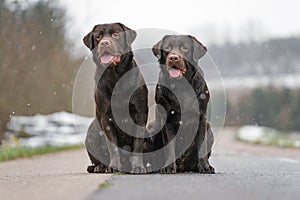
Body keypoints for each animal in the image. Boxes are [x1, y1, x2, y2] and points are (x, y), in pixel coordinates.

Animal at [82, 23, 148, 173]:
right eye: (98, 36)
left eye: (115, 34)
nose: (104, 43)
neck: (115, 76)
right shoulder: (106, 117)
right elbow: (112, 146)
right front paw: (114, 167)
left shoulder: (140, 114)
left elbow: (137, 144)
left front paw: (138, 167)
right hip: (91, 137)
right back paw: (100, 167)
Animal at [154, 34, 214, 173]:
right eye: (167, 48)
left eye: (185, 48)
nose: (173, 57)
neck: (181, 86)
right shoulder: (167, 119)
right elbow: (169, 146)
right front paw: (168, 167)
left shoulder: (201, 118)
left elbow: (201, 145)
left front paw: (205, 167)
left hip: (209, 128)